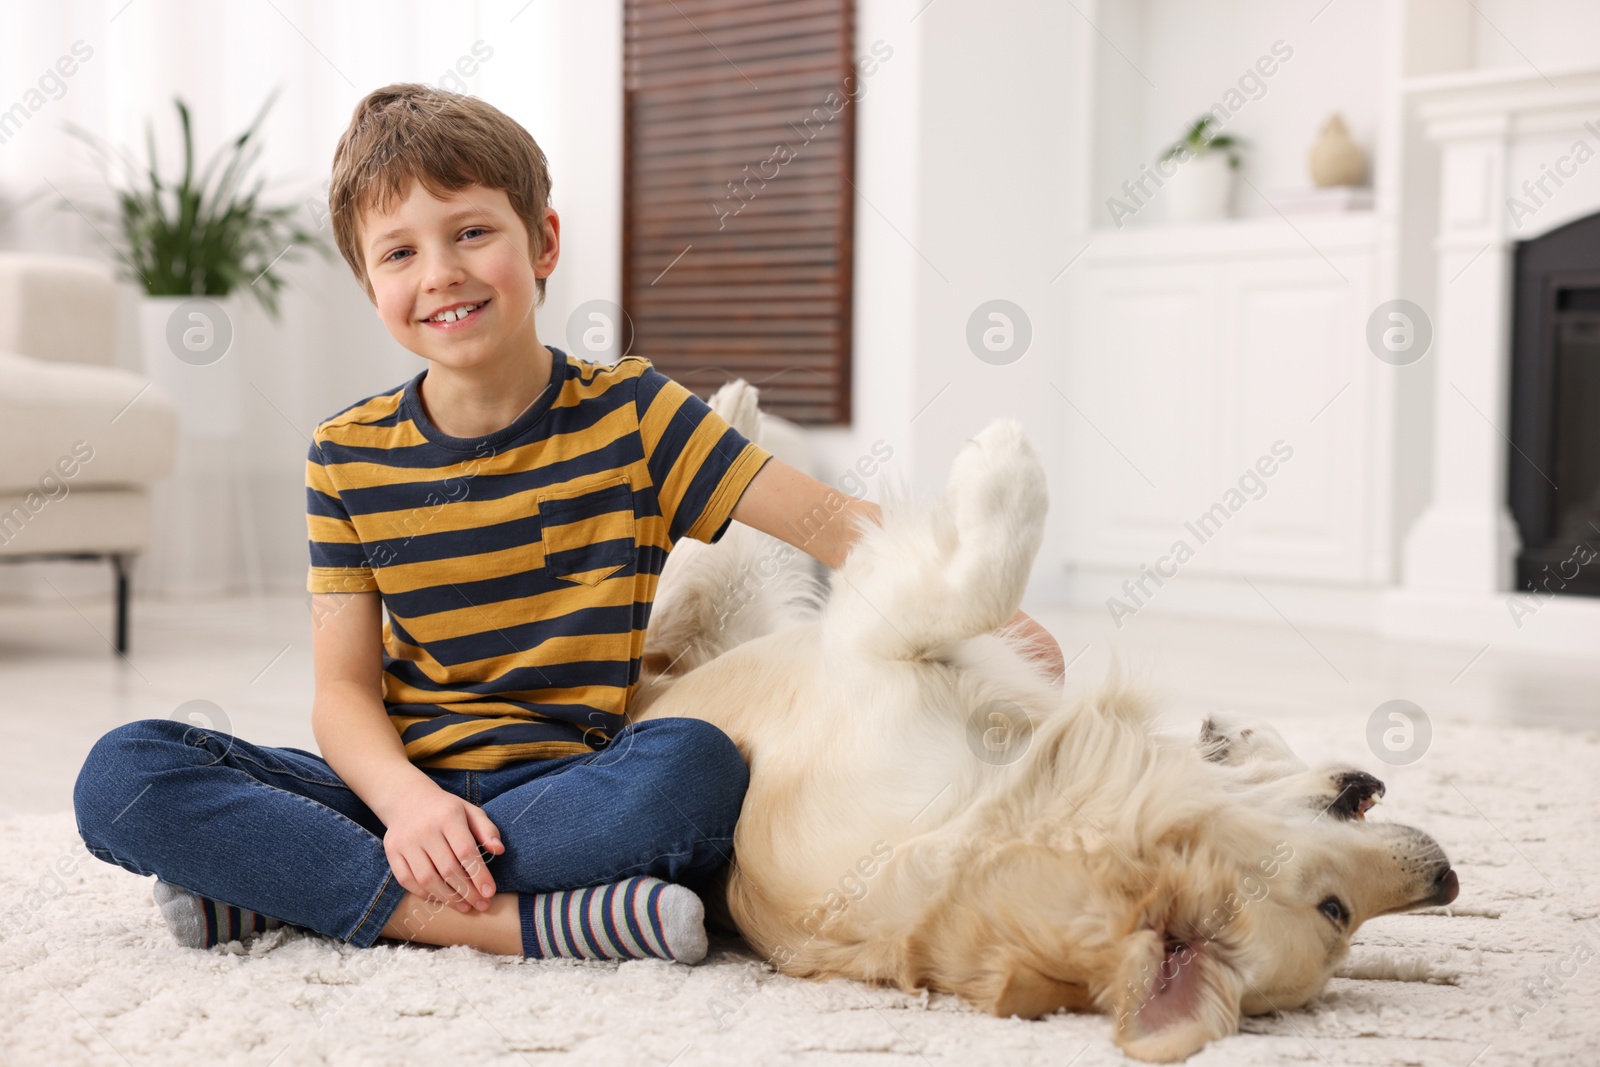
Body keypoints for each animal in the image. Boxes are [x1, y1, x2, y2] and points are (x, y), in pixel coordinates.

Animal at [630, 382, 1459, 1062]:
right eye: (1337, 910)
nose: (1447, 879)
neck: (1019, 813)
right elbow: (981, 592)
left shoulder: (873, 641)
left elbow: (977, 584)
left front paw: (1002, 470)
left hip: (729, 616)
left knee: (711, 557)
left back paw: (727, 414)